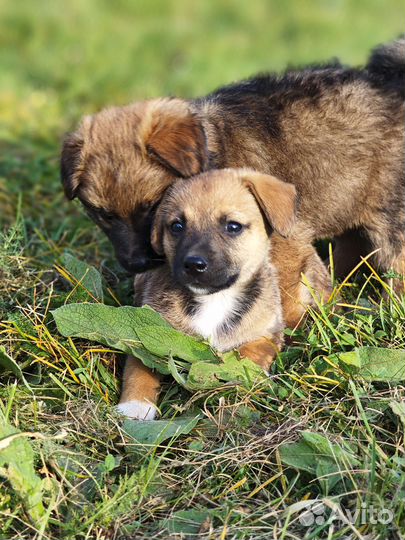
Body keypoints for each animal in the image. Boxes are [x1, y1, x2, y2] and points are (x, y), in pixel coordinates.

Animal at [117, 171, 332, 420]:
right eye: (177, 226)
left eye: (233, 226)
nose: (193, 264)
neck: (215, 300)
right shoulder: (147, 330)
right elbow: (138, 368)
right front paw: (134, 405)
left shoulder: (264, 335)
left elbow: (244, 359)